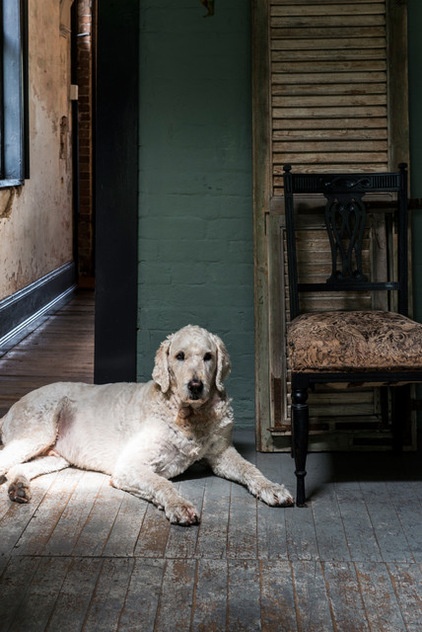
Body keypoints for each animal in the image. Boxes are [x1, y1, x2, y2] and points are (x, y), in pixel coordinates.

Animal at [0, 326, 294, 524]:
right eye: (179, 356)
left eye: (208, 356)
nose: (195, 386)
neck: (190, 416)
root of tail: (13, 406)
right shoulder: (130, 466)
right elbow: (162, 484)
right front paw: (179, 505)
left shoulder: (222, 454)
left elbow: (251, 469)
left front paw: (272, 488)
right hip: (36, 433)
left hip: (56, 456)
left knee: (17, 467)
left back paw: (18, 488)